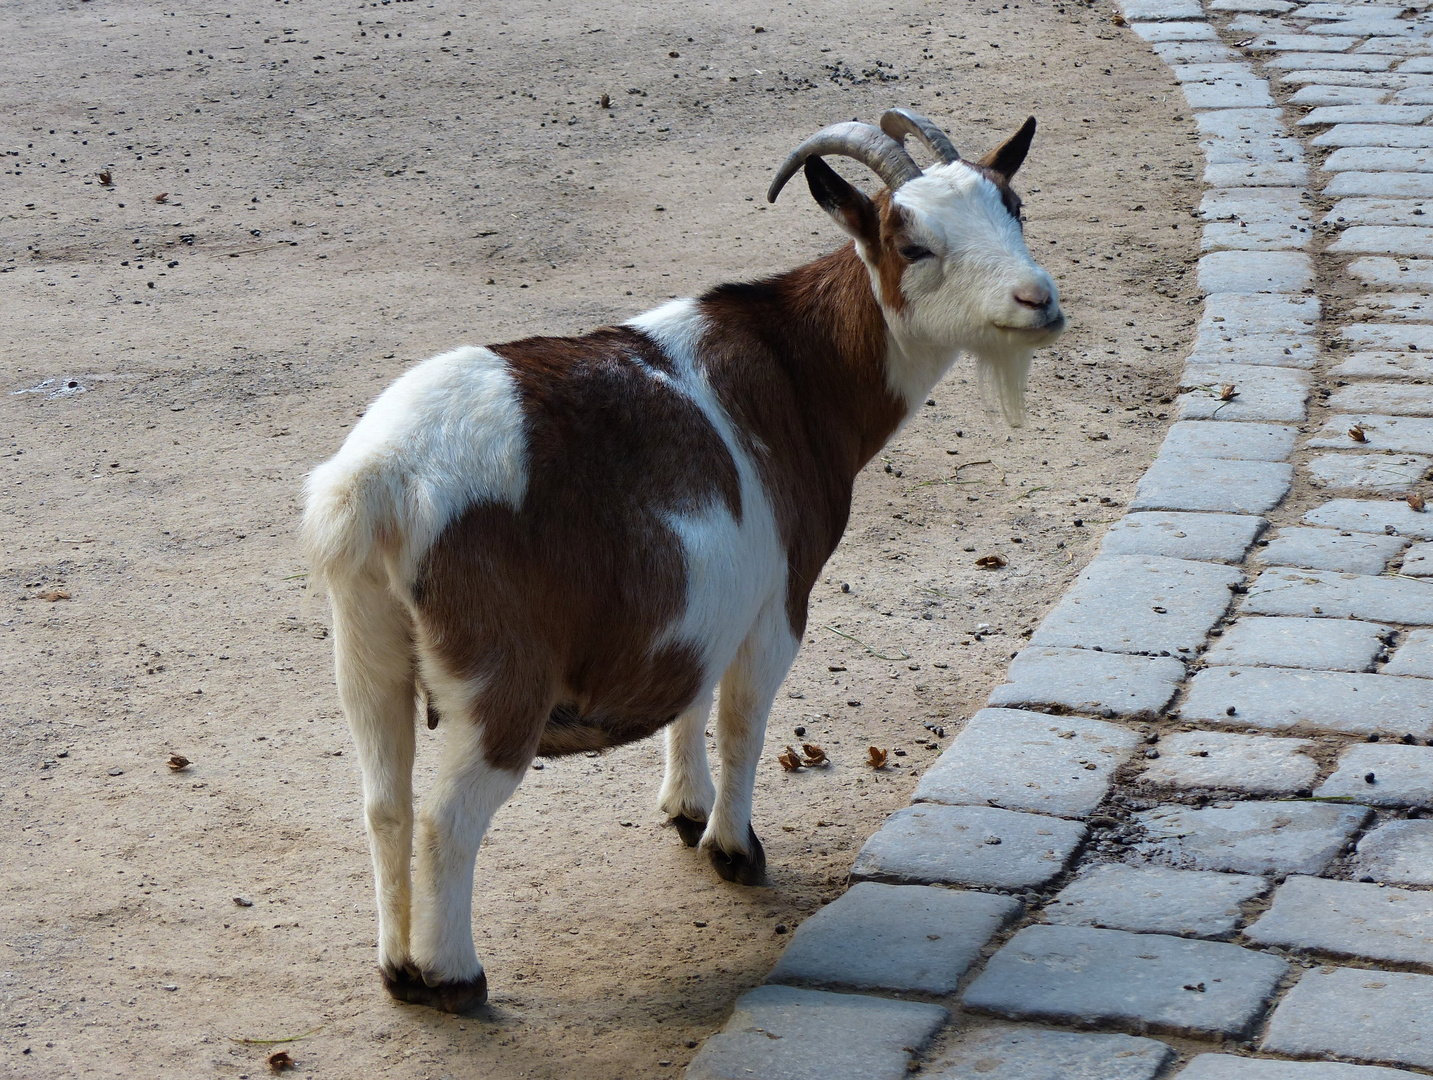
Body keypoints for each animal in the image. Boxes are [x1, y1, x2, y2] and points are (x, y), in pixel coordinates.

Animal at [302, 109, 1066, 1008]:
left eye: (1014, 208)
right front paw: (735, 850)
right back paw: (455, 977)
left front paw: (685, 808)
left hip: (368, 648)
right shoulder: (779, 598)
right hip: (497, 676)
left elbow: (691, 699)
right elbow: (742, 718)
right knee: (443, 818)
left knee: (383, 804)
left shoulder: (706, 599)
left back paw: (399, 971)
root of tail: (382, 482)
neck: (798, 371)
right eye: (911, 244)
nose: (1038, 300)